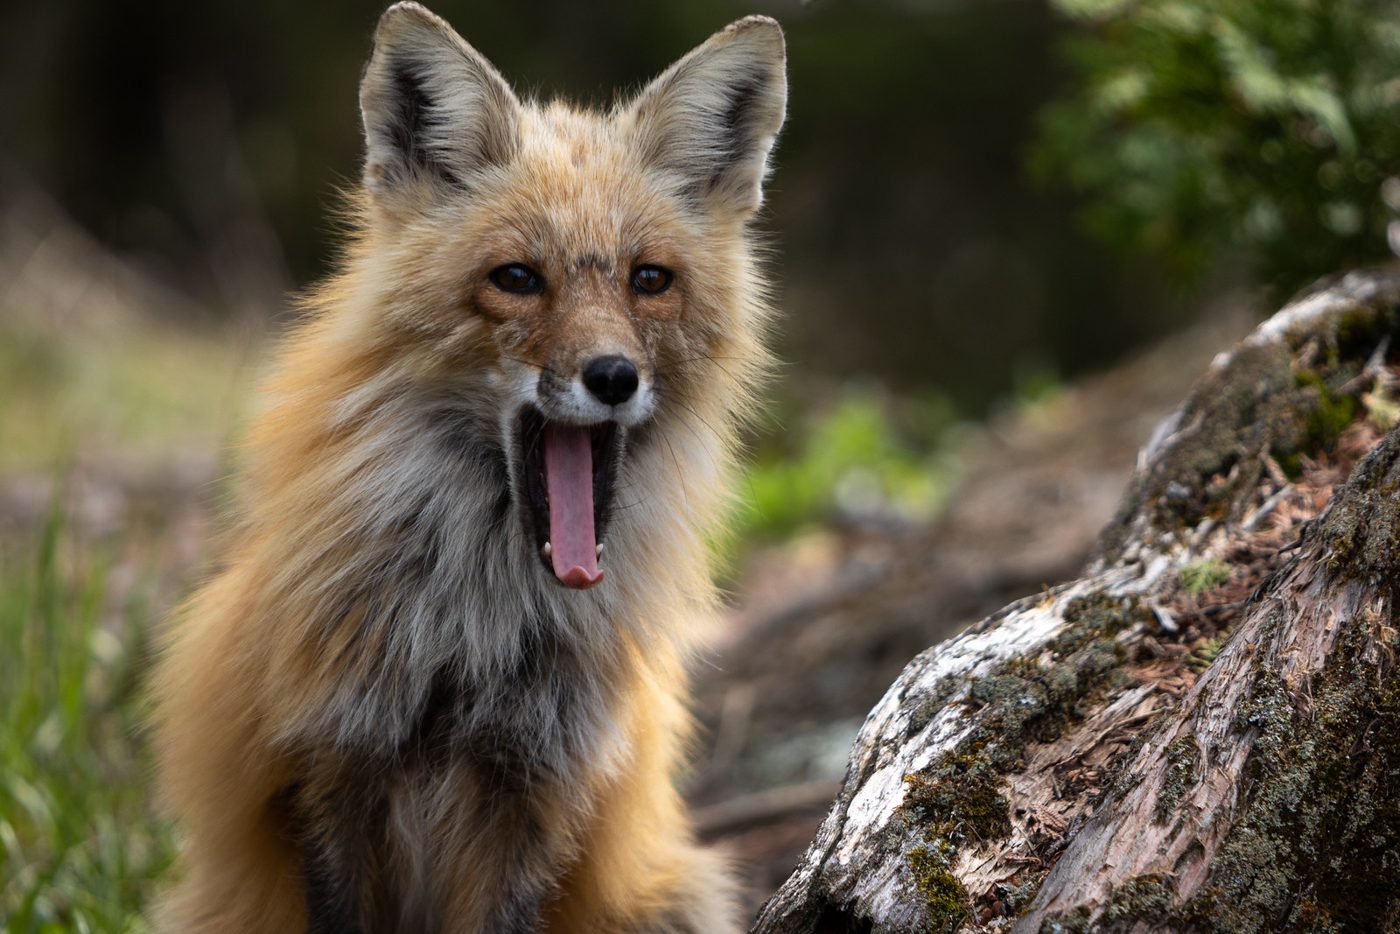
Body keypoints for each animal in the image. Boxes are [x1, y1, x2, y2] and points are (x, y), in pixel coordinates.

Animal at [150, 3, 785, 932]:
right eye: (517, 278)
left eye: (649, 279)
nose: (613, 377)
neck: (471, 634)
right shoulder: (326, 763)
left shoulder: (540, 790)